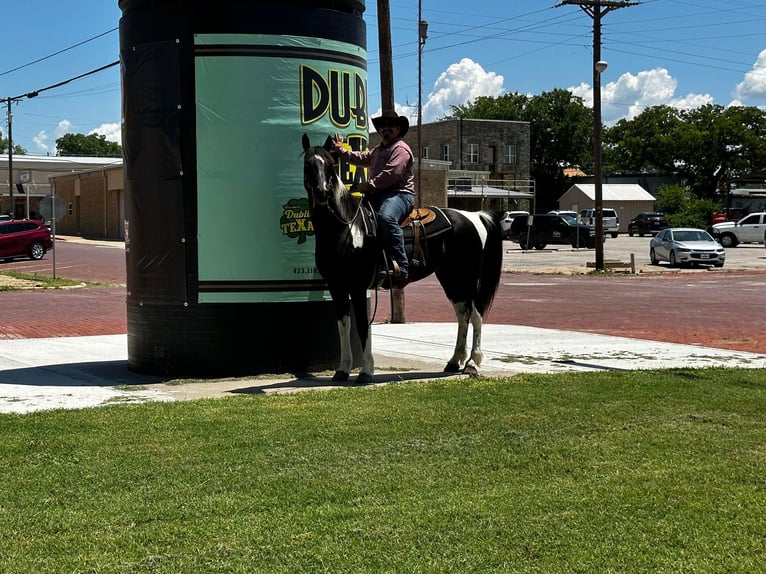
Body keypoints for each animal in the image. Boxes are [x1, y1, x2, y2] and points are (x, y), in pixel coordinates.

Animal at [304, 135, 508, 384]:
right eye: (309, 164)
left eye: (329, 165)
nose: (322, 192)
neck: (347, 228)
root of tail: (474, 216)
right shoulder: (337, 286)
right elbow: (343, 325)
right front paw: (342, 370)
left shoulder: (358, 287)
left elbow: (362, 325)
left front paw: (366, 371)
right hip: (450, 277)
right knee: (462, 314)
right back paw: (454, 361)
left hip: (468, 277)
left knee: (476, 314)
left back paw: (472, 364)